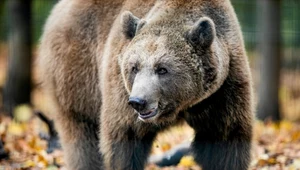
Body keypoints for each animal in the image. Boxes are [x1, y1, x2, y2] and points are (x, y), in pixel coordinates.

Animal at [37, 0, 253, 170]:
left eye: (162, 69)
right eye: (134, 67)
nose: (138, 101)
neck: (182, 105)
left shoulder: (223, 91)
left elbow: (225, 140)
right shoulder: (120, 91)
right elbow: (124, 139)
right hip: (78, 74)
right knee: (81, 134)